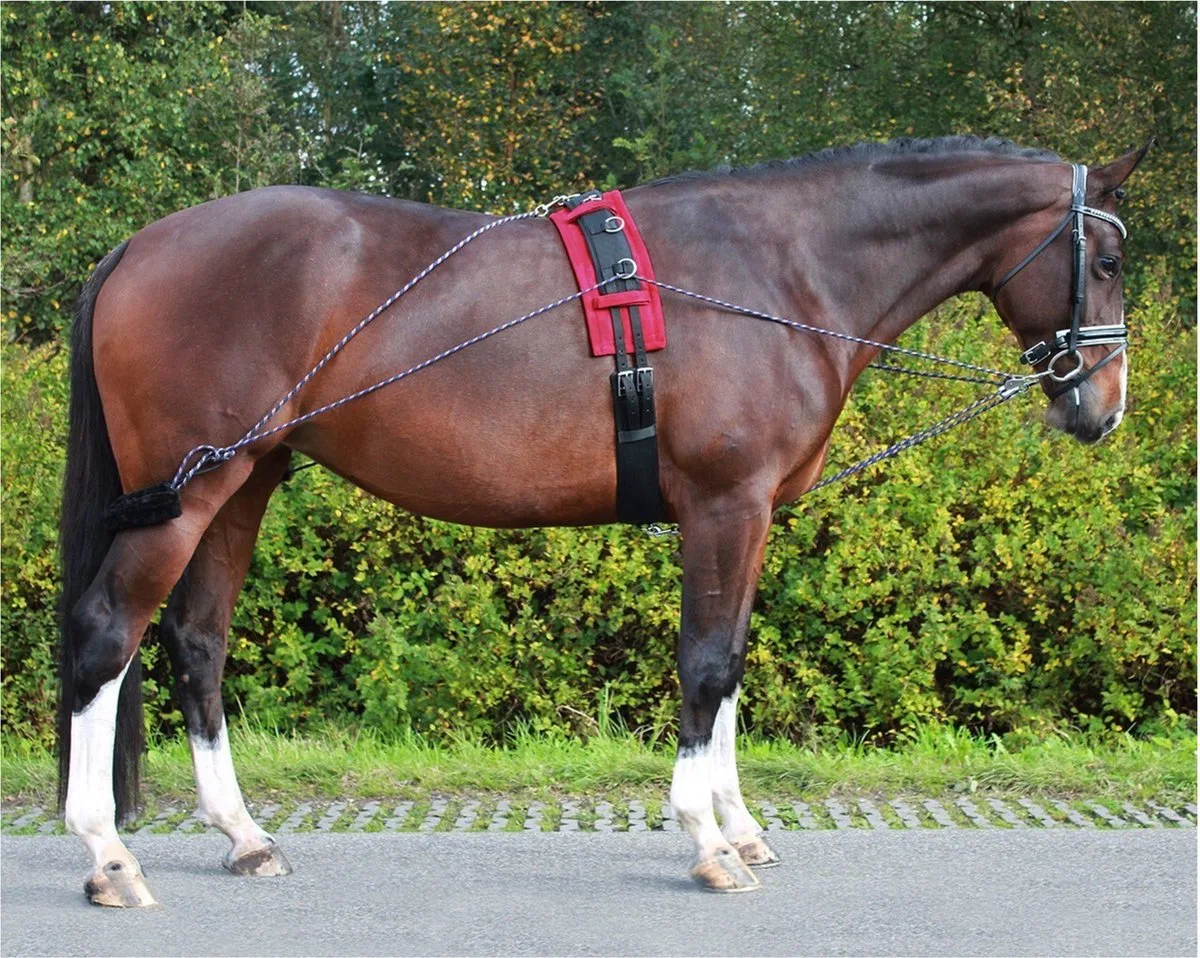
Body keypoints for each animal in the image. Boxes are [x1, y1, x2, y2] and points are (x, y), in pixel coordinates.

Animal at [56, 135, 1148, 906]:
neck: (781, 268)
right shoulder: (724, 504)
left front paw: (739, 824)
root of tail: (140, 244)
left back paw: (242, 836)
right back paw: (107, 856)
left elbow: (731, 664)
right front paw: (707, 841)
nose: (1103, 407)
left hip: (246, 482)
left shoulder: (747, 516)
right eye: (1107, 259)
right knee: (108, 632)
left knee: (196, 643)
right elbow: (704, 665)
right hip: (194, 490)